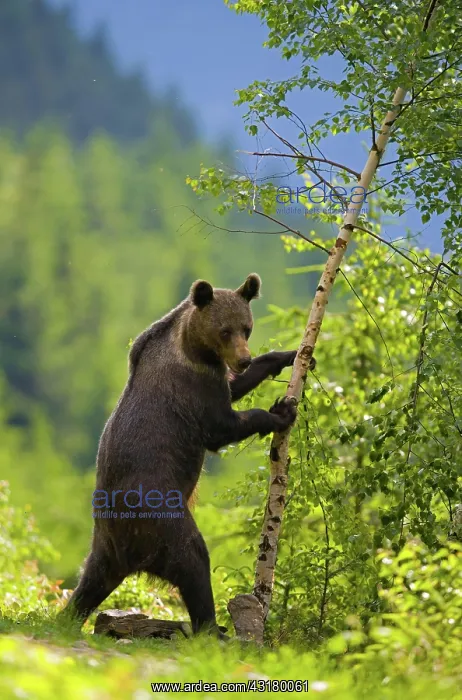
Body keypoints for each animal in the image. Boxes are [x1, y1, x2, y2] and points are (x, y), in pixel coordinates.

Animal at [62, 274, 309, 637]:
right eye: (225, 330)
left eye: (247, 328)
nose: (243, 359)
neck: (195, 347)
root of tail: (121, 548)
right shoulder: (193, 388)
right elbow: (222, 427)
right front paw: (280, 411)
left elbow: (236, 387)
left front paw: (291, 355)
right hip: (161, 515)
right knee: (193, 560)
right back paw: (213, 628)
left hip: (105, 545)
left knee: (91, 581)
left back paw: (67, 614)